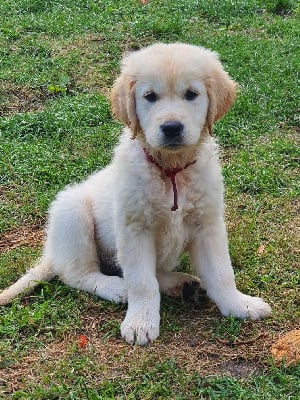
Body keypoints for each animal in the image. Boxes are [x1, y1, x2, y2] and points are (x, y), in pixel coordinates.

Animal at [0, 43, 272, 344]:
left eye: (191, 94)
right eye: (149, 96)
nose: (172, 128)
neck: (170, 169)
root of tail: (52, 252)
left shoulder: (207, 223)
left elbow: (221, 272)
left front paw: (239, 304)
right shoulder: (135, 229)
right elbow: (142, 282)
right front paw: (141, 323)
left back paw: (181, 284)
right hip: (72, 213)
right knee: (78, 274)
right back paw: (117, 287)